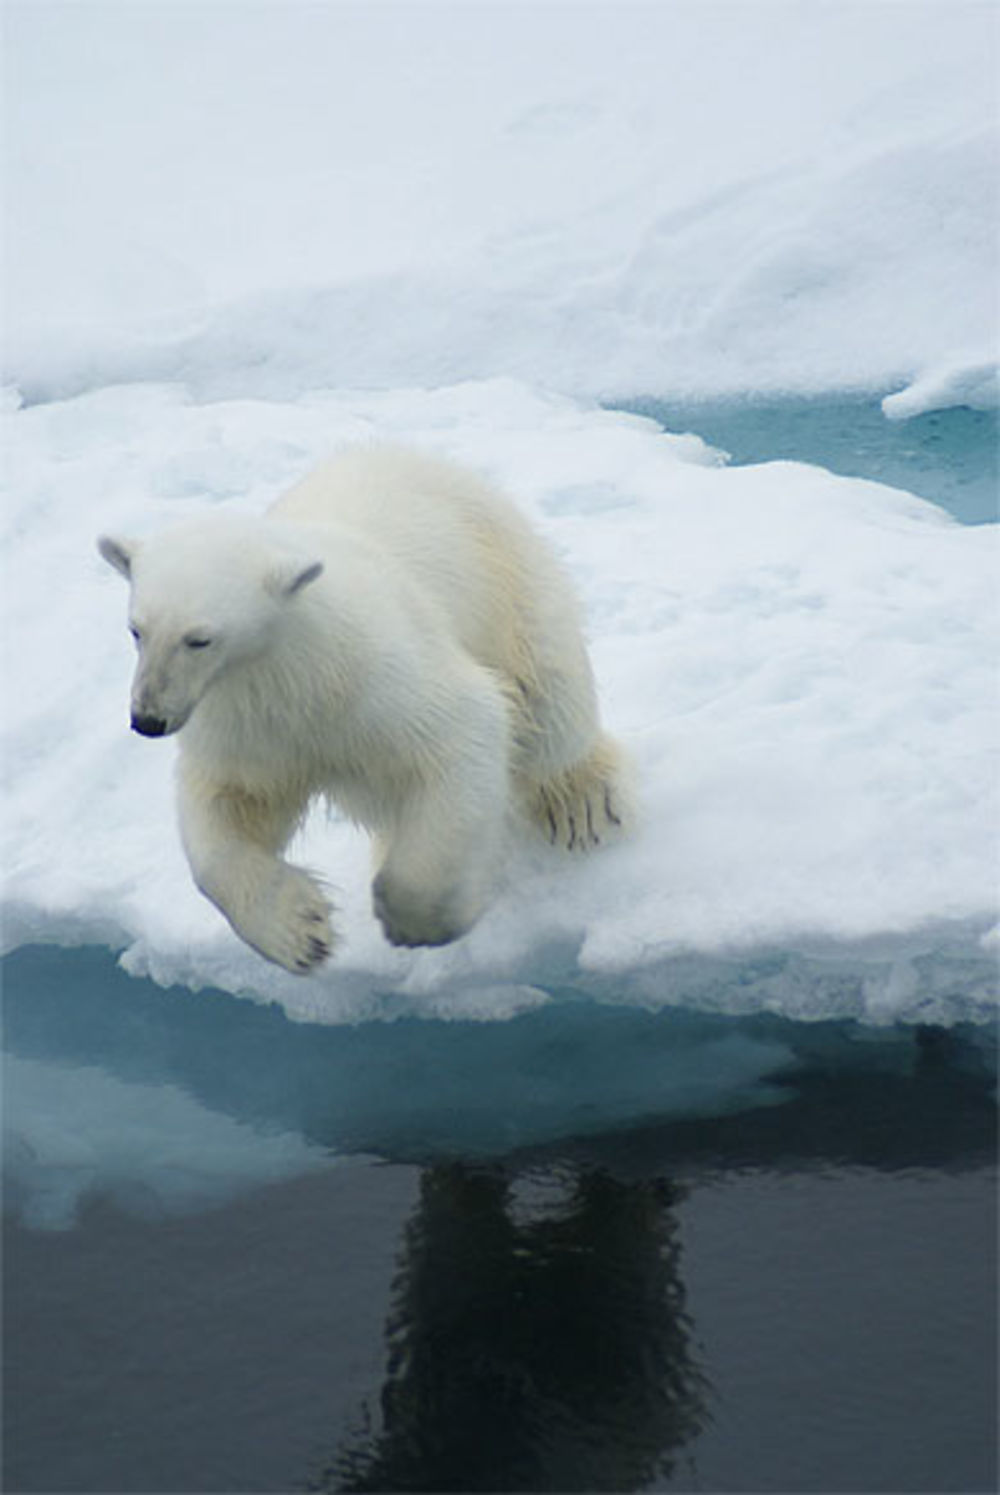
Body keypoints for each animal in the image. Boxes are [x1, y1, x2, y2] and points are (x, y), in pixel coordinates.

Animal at [101, 448, 630, 974]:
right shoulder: (245, 721)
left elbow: (464, 730)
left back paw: (580, 804)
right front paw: (299, 932)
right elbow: (228, 806)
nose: (147, 720)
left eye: (199, 638)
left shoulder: (377, 675)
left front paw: (417, 923)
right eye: (136, 629)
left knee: (547, 697)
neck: (293, 664)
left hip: (509, 583)